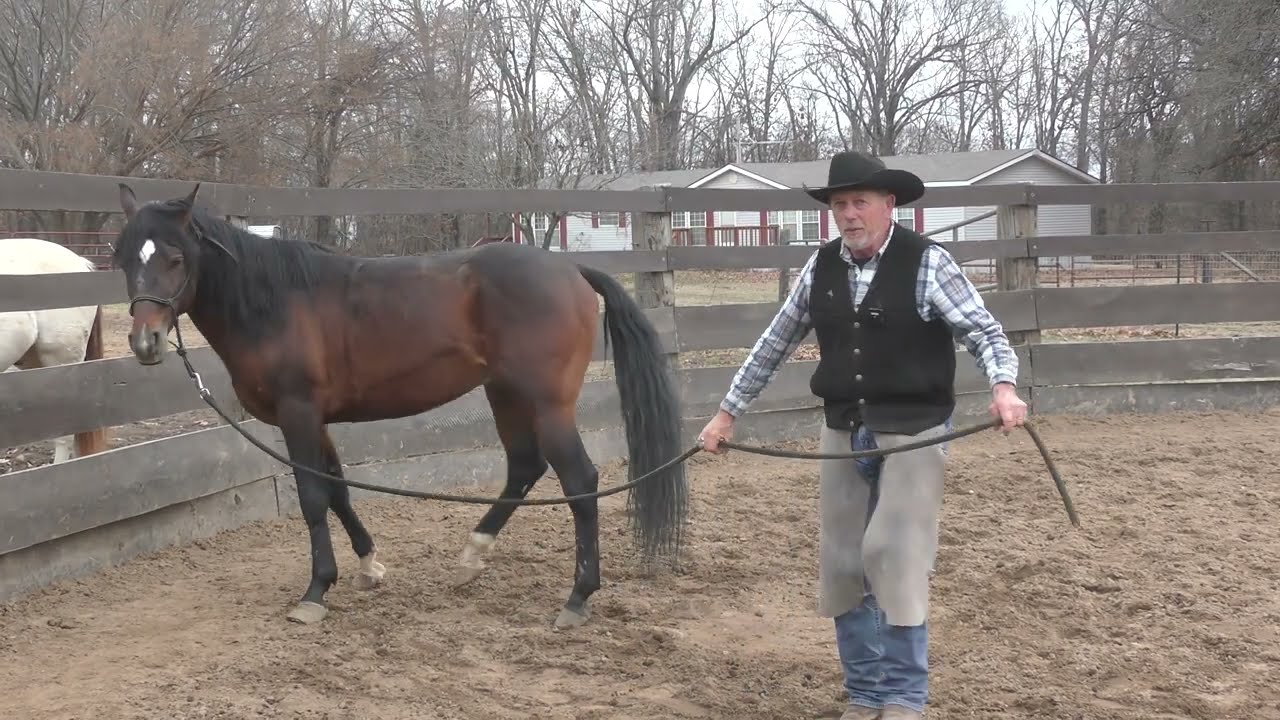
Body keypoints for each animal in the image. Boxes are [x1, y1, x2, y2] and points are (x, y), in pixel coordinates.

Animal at [110, 183, 688, 629]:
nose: (145, 342)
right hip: (504, 394)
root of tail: (572, 271)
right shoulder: (317, 419)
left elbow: (313, 498)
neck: (274, 303)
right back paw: (471, 557)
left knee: (580, 482)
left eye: (176, 258)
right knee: (525, 467)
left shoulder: (298, 413)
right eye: (124, 258)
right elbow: (338, 489)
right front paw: (369, 567)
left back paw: (577, 597)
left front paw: (315, 592)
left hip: (547, 404)